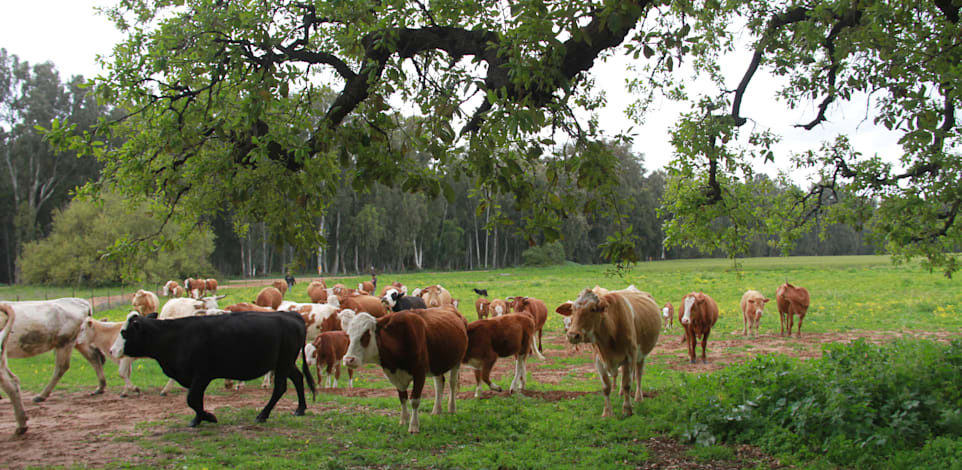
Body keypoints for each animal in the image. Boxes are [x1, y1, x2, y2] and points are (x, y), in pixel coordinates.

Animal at [111, 310, 316, 428]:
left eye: (124, 332)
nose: (112, 350)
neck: (176, 337)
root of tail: (292, 315)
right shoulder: (195, 377)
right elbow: (197, 399)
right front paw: (197, 419)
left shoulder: (202, 374)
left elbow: (192, 399)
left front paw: (209, 417)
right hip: (285, 363)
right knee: (298, 378)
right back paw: (300, 409)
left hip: (283, 362)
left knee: (280, 388)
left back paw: (263, 415)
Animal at [556, 284, 660, 416]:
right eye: (573, 309)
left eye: (593, 309)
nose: (572, 335)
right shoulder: (599, 359)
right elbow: (606, 387)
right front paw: (607, 412)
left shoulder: (630, 356)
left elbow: (627, 383)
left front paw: (627, 409)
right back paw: (621, 393)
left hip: (642, 355)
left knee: (638, 374)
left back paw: (638, 397)